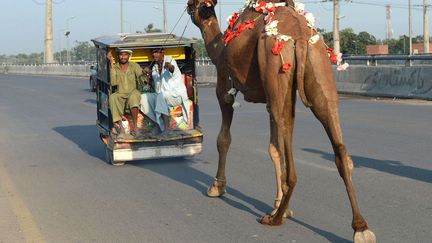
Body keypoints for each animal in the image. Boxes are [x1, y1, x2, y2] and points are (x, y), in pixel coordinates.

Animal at [186, 0, 374, 242]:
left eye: (196, 5)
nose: (188, 5)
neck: (219, 47)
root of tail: (301, 36)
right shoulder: (273, 97)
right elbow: (274, 148)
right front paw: (277, 203)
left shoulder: (224, 85)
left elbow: (224, 139)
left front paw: (217, 187)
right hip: (317, 65)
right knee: (338, 145)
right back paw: (360, 227)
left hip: (276, 61)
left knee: (292, 160)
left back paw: (275, 218)